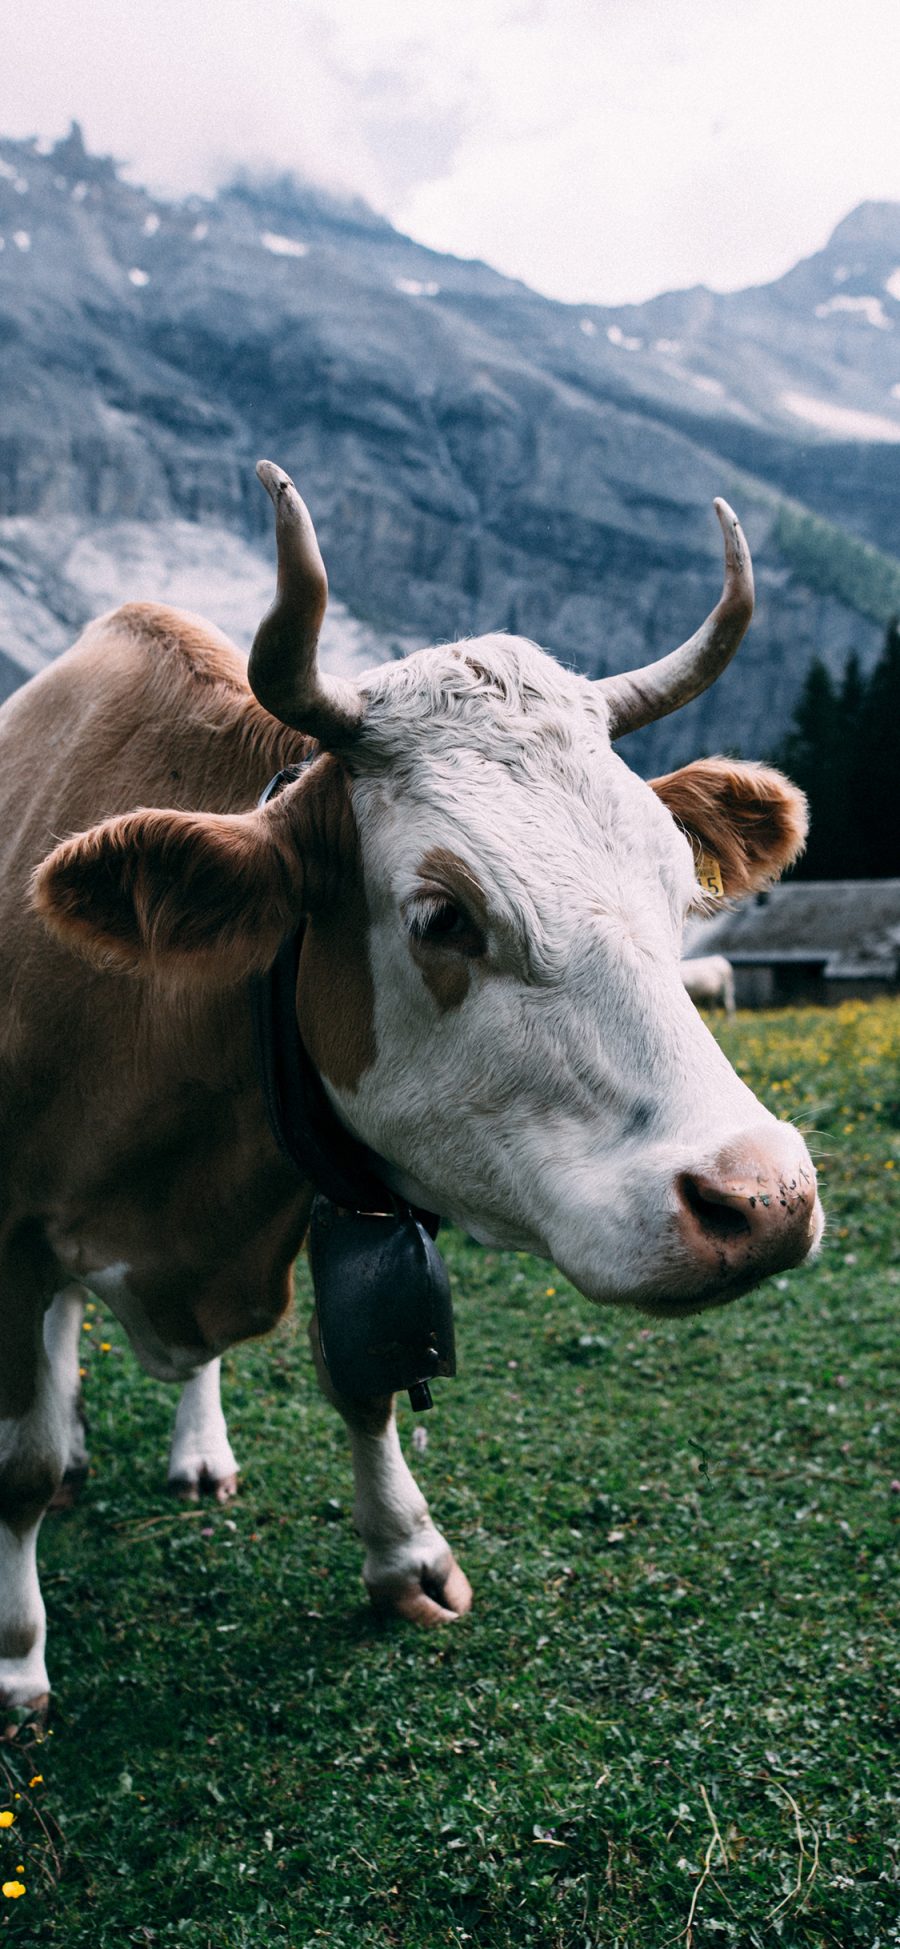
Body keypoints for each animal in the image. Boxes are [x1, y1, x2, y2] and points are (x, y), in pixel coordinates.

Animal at [0, 467, 822, 1722]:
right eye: (443, 915)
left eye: (682, 879)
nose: (763, 1196)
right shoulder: (9, 1233)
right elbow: (19, 1459)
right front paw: (15, 1658)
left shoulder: (335, 1178)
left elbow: (366, 1372)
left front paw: (408, 1557)